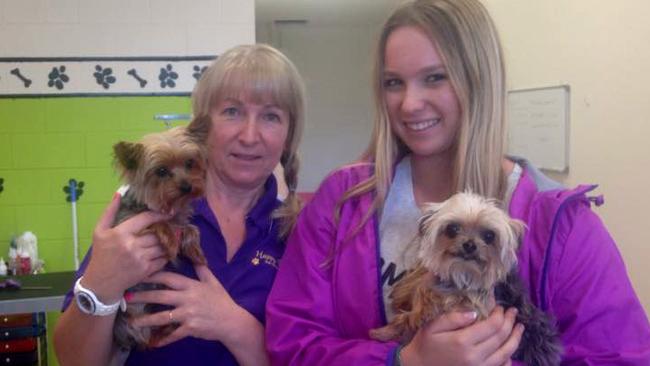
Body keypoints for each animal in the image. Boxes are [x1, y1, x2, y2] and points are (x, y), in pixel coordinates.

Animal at [109, 127, 205, 350]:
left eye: (189, 163)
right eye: (161, 171)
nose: (187, 186)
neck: (168, 209)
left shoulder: (180, 221)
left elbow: (191, 229)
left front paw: (196, 252)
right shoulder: (126, 224)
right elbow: (157, 223)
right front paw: (170, 242)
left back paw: (168, 327)